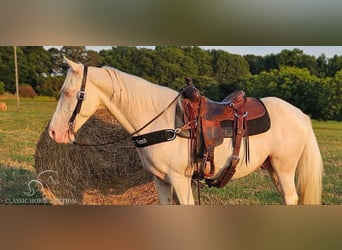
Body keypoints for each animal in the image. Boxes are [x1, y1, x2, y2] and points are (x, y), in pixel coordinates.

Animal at [48, 58, 324, 205]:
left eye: (70, 93)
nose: (53, 133)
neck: (162, 123)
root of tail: (300, 114)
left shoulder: (180, 179)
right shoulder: (160, 180)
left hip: (284, 168)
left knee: (291, 198)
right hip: (273, 168)